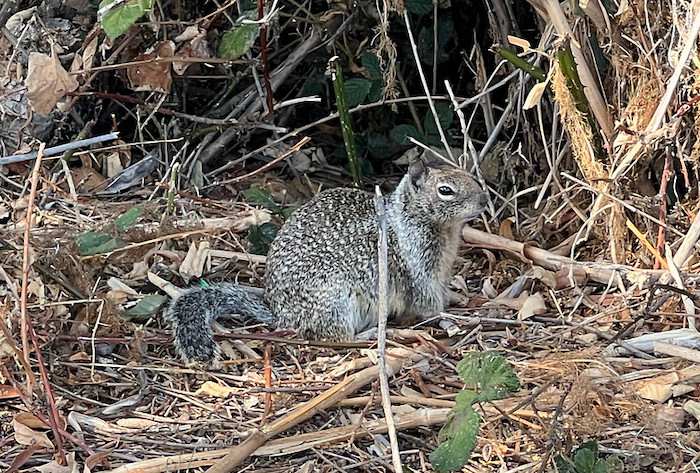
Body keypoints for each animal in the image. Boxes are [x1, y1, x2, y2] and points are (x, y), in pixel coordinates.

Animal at [165, 159, 488, 364]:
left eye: (469, 175)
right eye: (445, 190)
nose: (484, 200)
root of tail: (281, 315)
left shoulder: (440, 271)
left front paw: (459, 299)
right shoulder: (418, 268)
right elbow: (428, 303)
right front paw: (450, 318)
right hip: (336, 300)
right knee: (336, 337)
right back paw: (376, 332)